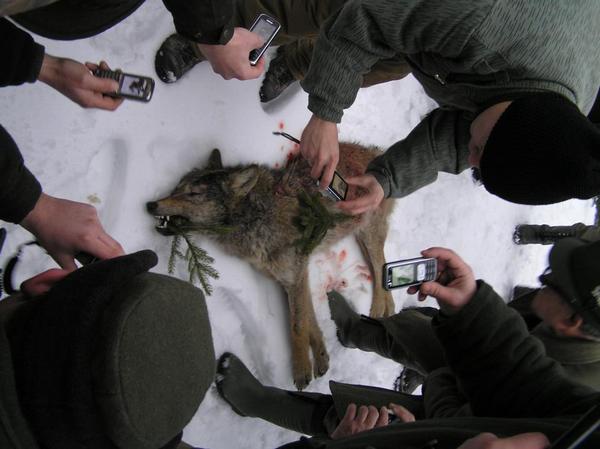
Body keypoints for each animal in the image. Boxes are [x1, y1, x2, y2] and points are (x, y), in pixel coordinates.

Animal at [146, 144, 394, 388]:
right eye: (177, 188)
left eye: (194, 194)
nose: (150, 204)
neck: (257, 216)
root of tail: (374, 152)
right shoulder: (293, 278)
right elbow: (309, 320)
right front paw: (321, 358)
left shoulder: (295, 275)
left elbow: (297, 326)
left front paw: (301, 369)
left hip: (369, 234)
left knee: (380, 262)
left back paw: (379, 309)